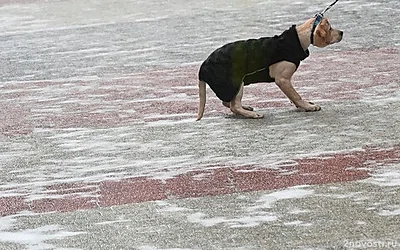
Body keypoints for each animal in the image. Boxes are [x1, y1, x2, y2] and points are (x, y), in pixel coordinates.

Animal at [195, 16, 342, 120]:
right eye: (330, 29)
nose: (342, 32)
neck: (299, 39)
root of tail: (204, 66)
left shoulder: (285, 82)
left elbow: (292, 95)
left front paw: (302, 105)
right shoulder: (282, 79)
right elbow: (296, 96)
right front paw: (307, 106)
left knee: (227, 102)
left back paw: (246, 108)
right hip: (236, 83)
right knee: (233, 106)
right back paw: (251, 115)